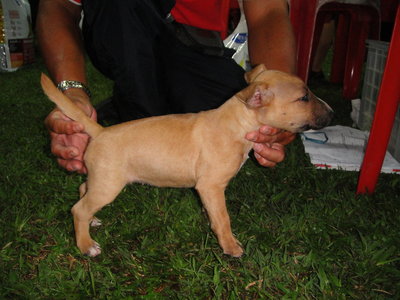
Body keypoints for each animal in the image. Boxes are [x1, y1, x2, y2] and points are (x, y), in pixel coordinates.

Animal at [41, 64, 334, 256]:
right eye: (303, 97)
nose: (332, 112)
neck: (238, 122)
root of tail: (99, 131)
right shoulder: (211, 186)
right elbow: (224, 219)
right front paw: (231, 247)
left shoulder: (208, 191)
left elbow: (214, 213)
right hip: (108, 185)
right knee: (78, 209)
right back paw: (86, 245)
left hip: (101, 180)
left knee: (82, 190)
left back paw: (91, 223)